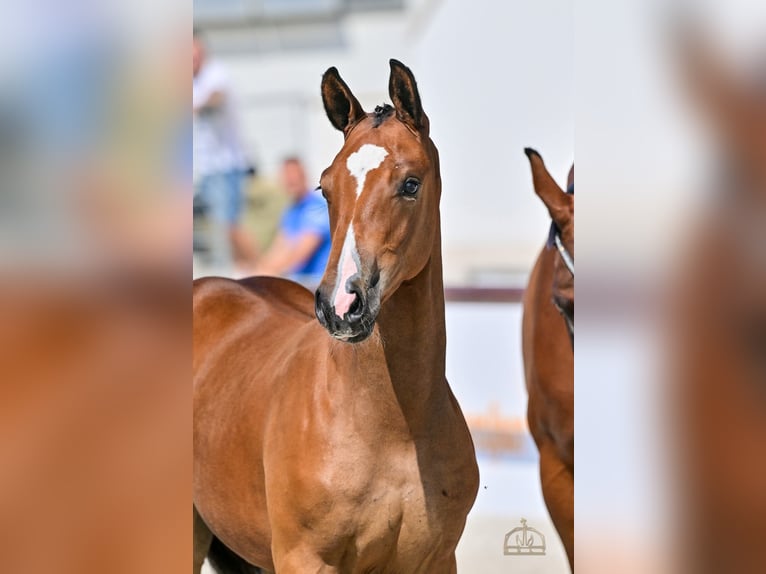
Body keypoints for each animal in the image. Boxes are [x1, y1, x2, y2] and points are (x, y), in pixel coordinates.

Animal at [193, 60, 479, 573]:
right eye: (324, 188)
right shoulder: (304, 558)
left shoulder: (437, 560)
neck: (393, 427)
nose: (341, 305)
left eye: (410, 184)